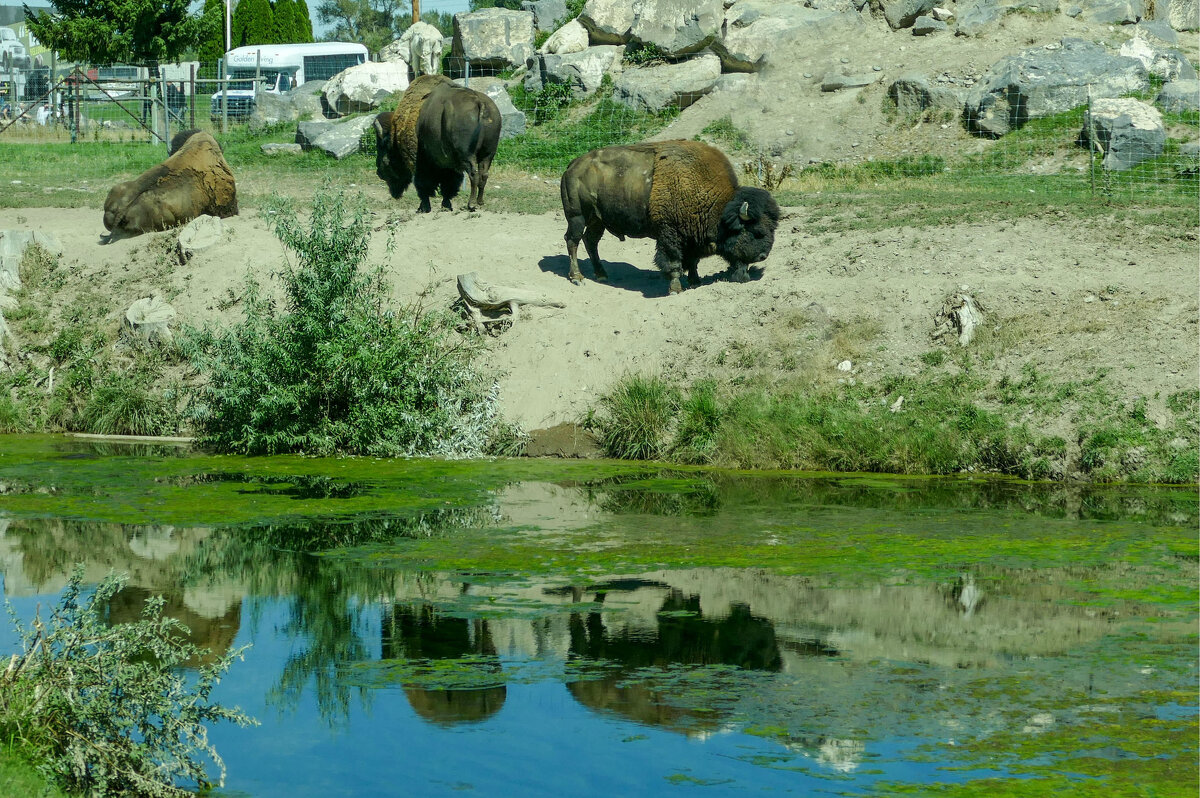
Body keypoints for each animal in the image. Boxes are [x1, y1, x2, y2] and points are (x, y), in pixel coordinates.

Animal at [376, 72, 504, 211]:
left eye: (383, 148)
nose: (379, 172)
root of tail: (479, 102)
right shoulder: (448, 164)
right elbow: (447, 186)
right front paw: (445, 206)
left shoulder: (421, 162)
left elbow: (424, 186)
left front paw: (424, 207)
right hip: (488, 154)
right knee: (483, 174)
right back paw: (480, 201)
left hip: (467, 155)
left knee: (473, 174)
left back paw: (471, 204)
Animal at [559, 141, 782, 295]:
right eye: (757, 232)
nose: (763, 256)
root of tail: (573, 166)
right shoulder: (670, 235)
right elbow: (674, 262)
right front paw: (676, 288)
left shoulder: (692, 238)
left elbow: (693, 261)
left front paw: (695, 282)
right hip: (577, 217)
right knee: (573, 241)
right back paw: (577, 277)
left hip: (598, 221)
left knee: (590, 241)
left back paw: (602, 275)